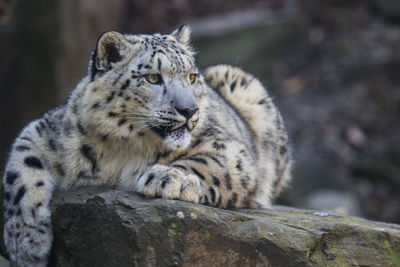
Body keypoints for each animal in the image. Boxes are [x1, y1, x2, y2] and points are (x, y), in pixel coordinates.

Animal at [1, 24, 292, 266]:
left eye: (192, 77)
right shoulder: (43, 132)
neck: (122, 150)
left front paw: (169, 178)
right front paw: (26, 242)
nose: (190, 110)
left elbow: (208, 161)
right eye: (152, 78)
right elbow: (19, 173)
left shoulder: (229, 147)